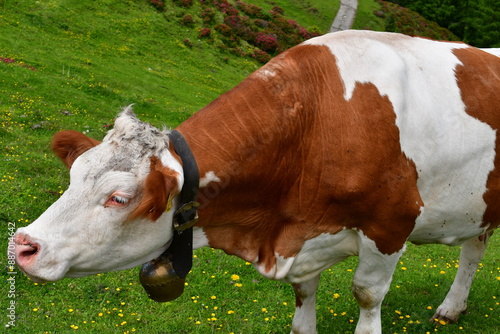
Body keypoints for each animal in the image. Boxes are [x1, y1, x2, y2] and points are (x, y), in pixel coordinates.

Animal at [9, 30, 498, 332]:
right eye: (74, 174)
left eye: (119, 197)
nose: (23, 245)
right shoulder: (303, 239)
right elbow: (303, 299)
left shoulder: (391, 223)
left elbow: (366, 294)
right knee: (474, 250)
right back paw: (452, 308)